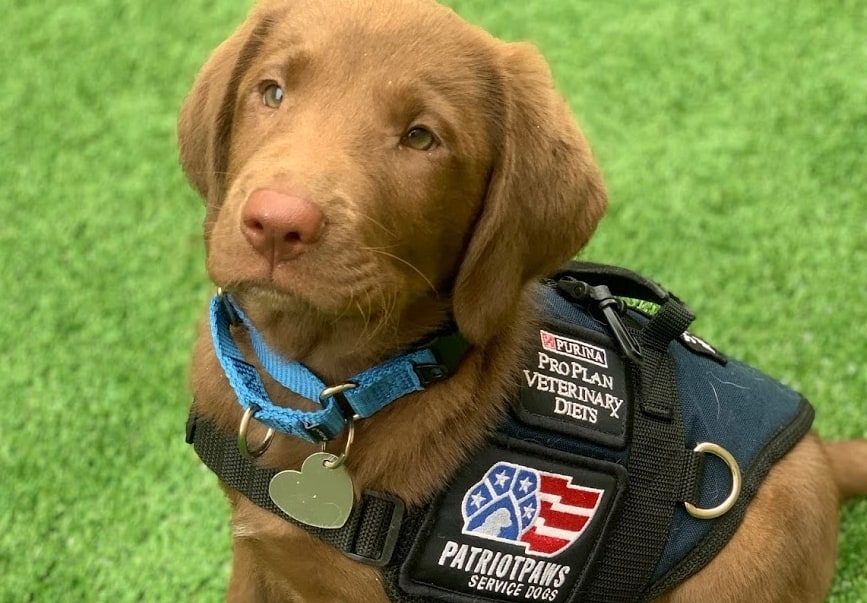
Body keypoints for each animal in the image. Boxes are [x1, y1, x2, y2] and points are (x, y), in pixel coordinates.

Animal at [178, 1, 867, 603]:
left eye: (421, 138)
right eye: (271, 92)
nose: (276, 224)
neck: (315, 388)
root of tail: (821, 457)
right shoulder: (259, 561)